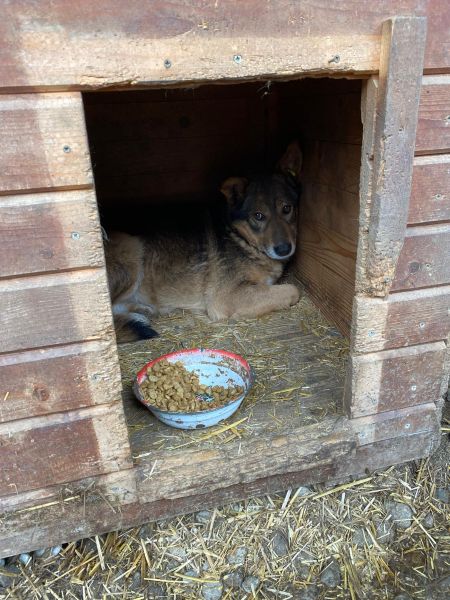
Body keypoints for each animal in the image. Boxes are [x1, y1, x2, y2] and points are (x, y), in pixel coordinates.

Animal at [105, 141, 303, 342]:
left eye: (287, 208)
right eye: (258, 216)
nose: (284, 249)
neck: (241, 238)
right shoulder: (227, 296)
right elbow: (293, 290)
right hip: (132, 249)